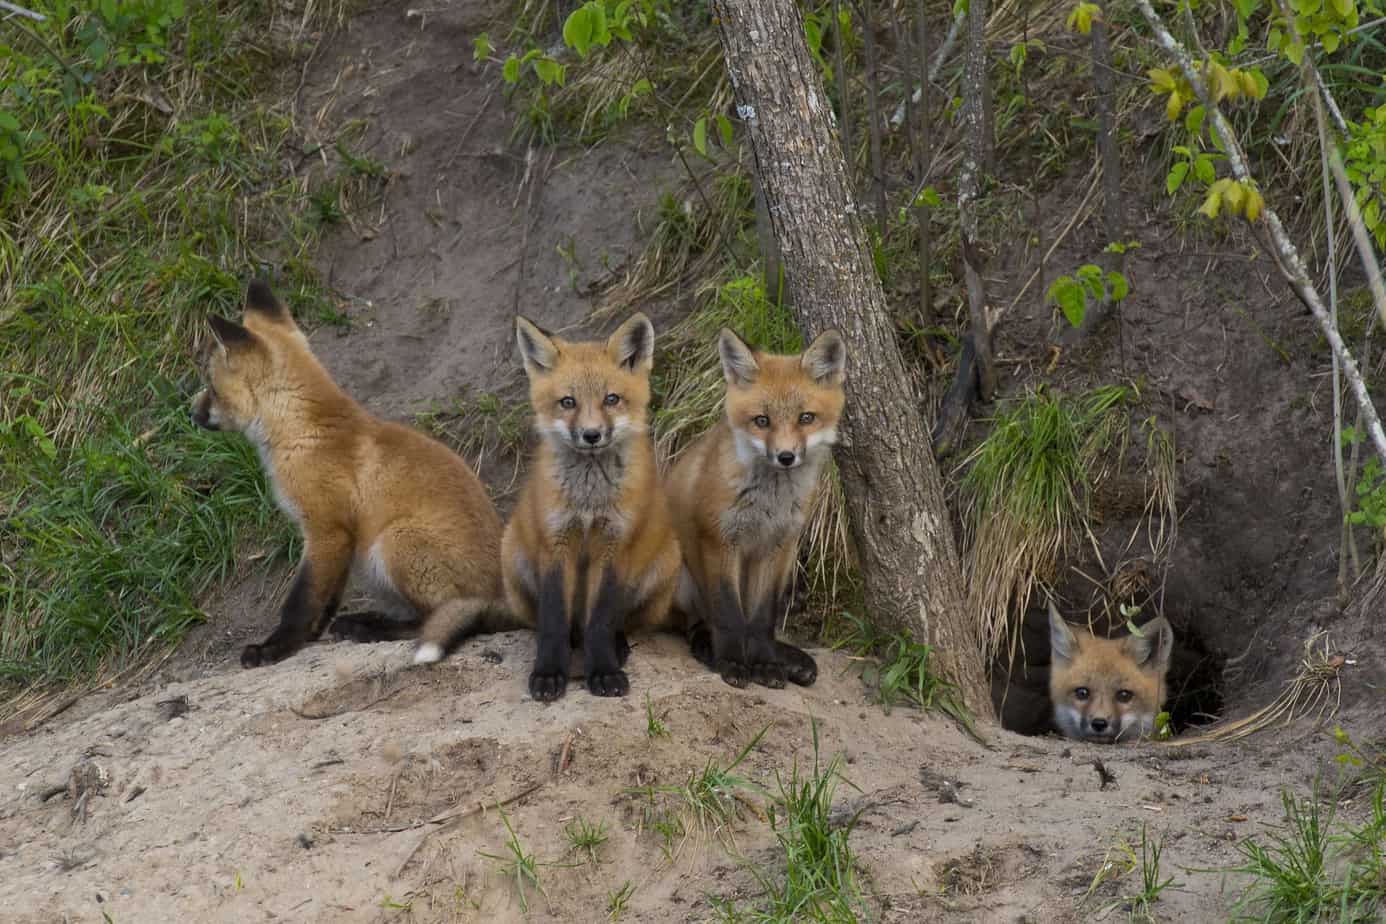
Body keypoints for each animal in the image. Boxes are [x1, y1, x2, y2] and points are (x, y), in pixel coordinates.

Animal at [188, 278, 504, 667]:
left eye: (211, 386)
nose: (191, 413)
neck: (304, 432)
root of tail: (506, 596)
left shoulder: (326, 530)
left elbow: (300, 601)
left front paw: (276, 647)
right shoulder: (339, 539)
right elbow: (326, 598)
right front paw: (310, 635)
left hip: (394, 542)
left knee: (435, 620)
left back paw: (368, 627)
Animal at [507, 310, 684, 700]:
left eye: (611, 399)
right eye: (568, 402)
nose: (591, 435)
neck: (588, 501)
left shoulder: (614, 545)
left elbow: (601, 620)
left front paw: (604, 671)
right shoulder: (555, 543)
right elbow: (553, 621)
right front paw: (548, 673)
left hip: (663, 566)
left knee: (617, 623)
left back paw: (615, 647)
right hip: (513, 555)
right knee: (557, 625)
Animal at [662, 328, 842, 689]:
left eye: (806, 418)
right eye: (762, 421)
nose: (786, 457)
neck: (769, 503)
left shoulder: (776, 545)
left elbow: (761, 619)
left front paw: (765, 664)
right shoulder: (720, 540)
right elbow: (730, 616)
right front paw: (732, 662)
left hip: (787, 562)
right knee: (694, 624)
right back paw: (708, 648)